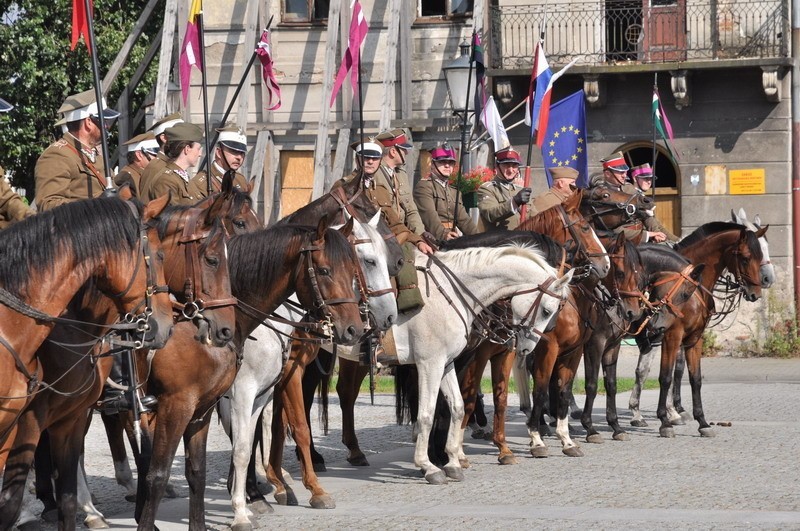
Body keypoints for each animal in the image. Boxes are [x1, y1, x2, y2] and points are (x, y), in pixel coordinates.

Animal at [134, 216, 366, 531]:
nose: (354, 329)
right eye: (325, 270)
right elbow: (250, 446)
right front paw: (245, 509)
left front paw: (252, 499)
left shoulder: (255, 396)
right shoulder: (234, 395)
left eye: (352, 269)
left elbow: (248, 443)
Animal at [219, 212, 396, 531]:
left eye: (352, 266)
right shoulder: (270, 380)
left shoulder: (273, 382)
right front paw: (309, 489)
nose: (390, 315)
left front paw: (272, 487)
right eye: (368, 261)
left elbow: (268, 430)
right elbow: (295, 427)